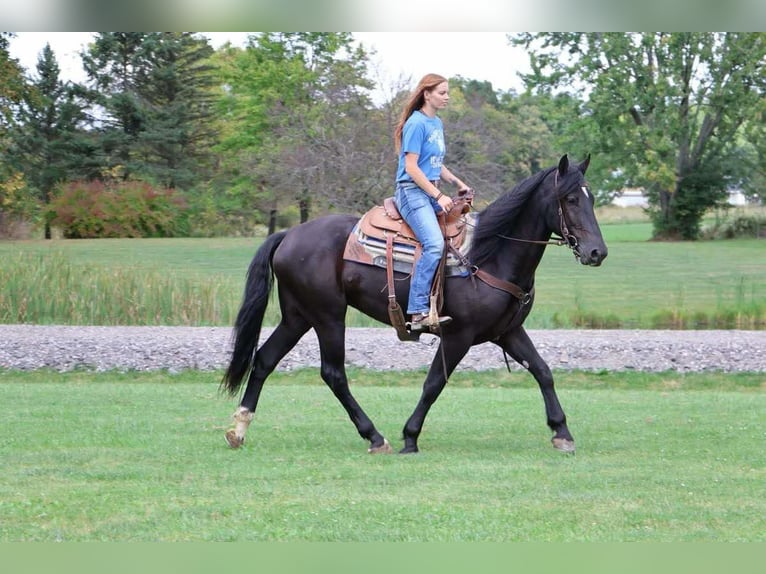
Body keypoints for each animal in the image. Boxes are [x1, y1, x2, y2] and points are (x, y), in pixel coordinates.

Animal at [221, 154, 607, 454]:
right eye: (570, 199)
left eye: (590, 199)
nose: (597, 252)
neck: (491, 254)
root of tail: (289, 235)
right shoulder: (458, 336)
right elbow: (434, 383)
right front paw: (411, 436)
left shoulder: (508, 331)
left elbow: (543, 371)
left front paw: (562, 433)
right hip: (328, 317)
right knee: (333, 373)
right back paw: (375, 437)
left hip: (298, 316)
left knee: (264, 360)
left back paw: (239, 429)